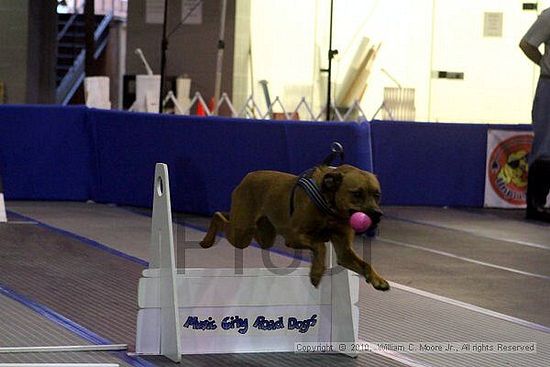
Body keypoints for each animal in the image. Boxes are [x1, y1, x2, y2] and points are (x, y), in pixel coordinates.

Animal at [201, 165, 390, 292]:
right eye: (357, 193)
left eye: (377, 195)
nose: (378, 214)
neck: (331, 209)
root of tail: (248, 176)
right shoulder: (294, 237)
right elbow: (320, 246)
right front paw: (316, 273)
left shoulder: (344, 251)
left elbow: (365, 264)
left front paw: (377, 279)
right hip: (240, 233)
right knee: (218, 216)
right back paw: (207, 240)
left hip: (263, 234)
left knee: (256, 233)